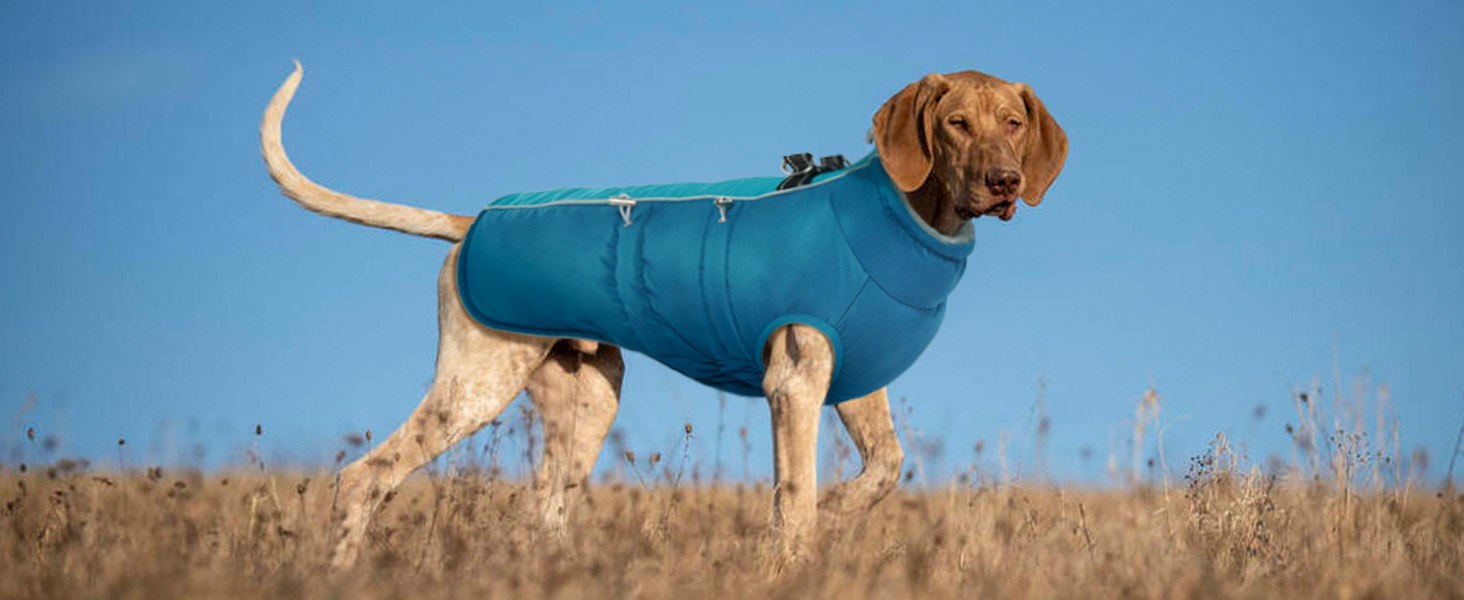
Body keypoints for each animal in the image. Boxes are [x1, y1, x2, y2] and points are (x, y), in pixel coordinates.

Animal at [260, 63, 1065, 570]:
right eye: (956, 123)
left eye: (1013, 122)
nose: (1006, 182)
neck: (905, 215)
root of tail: (473, 221)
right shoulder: (794, 386)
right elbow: (796, 497)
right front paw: (796, 550)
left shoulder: (859, 385)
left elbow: (884, 470)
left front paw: (835, 515)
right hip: (473, 387)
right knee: (363, 478)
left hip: (588, 404)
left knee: (540, 518)